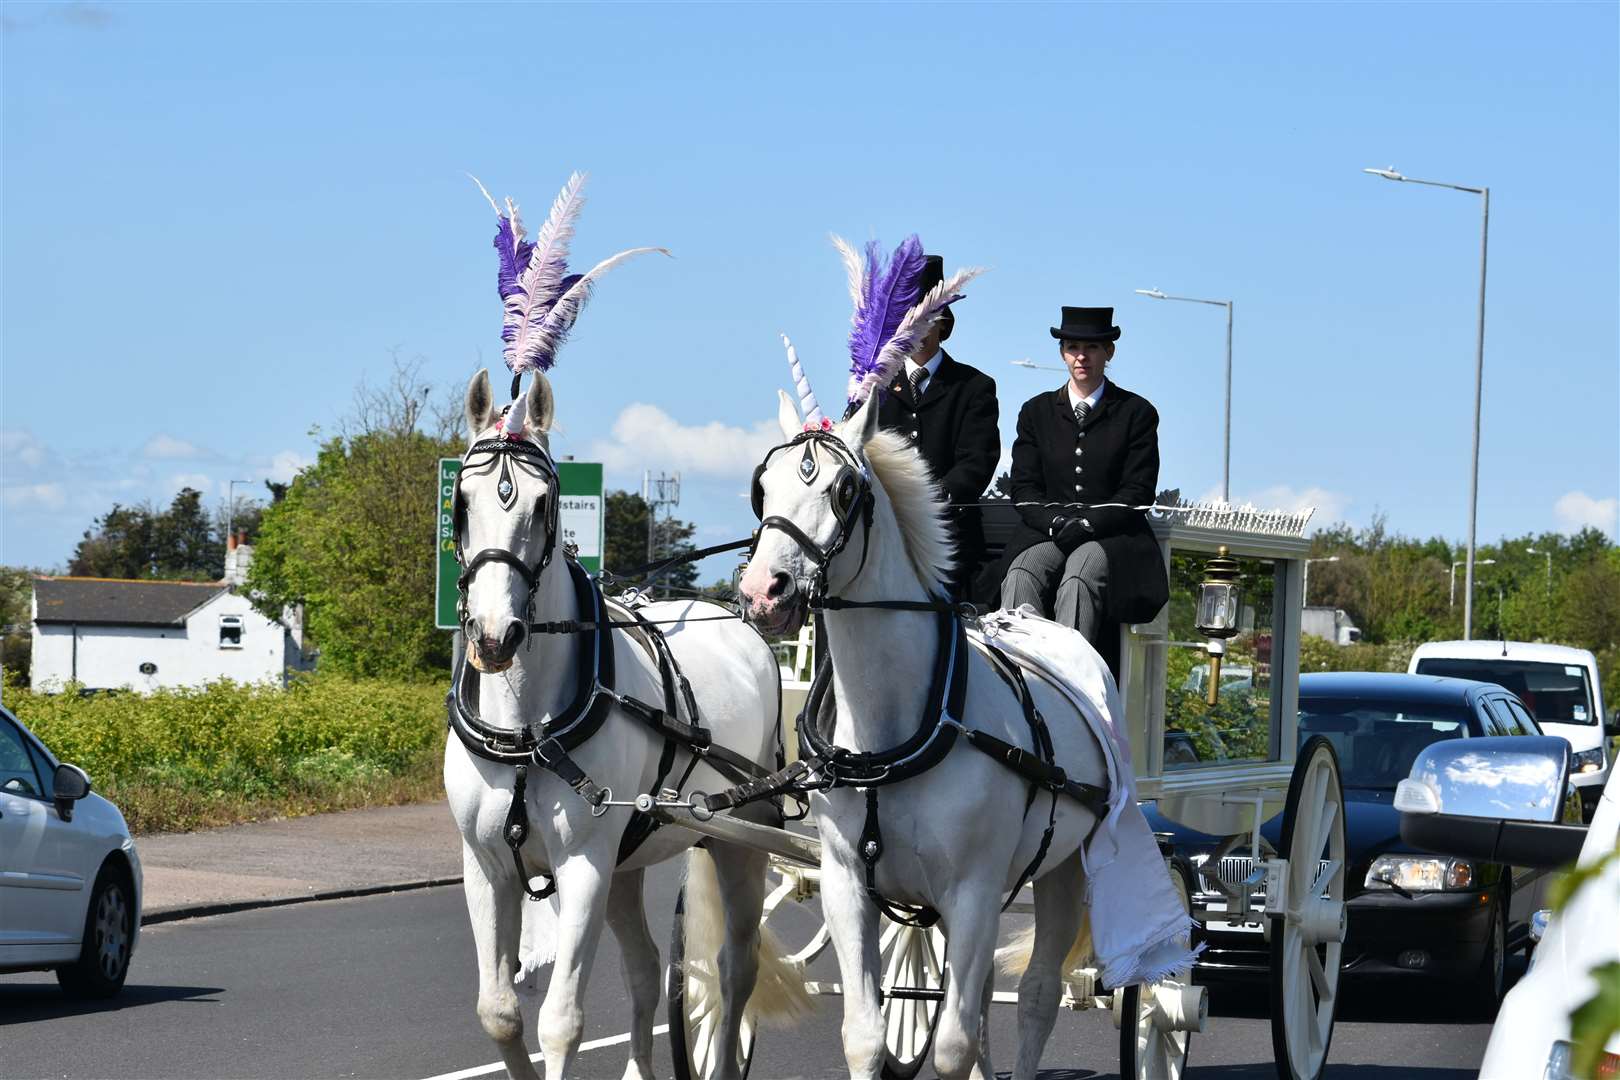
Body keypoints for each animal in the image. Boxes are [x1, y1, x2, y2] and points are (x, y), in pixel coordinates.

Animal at [443, 367, 803, 1075]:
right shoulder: (487, 864)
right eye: (461, 503)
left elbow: (559, 1022)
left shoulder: (584, 862)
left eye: (544, 505)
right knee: (644, 967)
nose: (495, 636)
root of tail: (740, 624)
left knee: (734, 972)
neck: (528, 731)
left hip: (739, 839)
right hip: (627, 862)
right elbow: (499, 1013)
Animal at [738, 390, 1108, 1080]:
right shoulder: (846, 883)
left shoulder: (973, 892)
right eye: (763, 486)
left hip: (1066, 868)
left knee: (1038, 993)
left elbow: (953, 1047)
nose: (762, 592)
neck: (892, 735)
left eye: (843, 489)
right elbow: (867, 1034)